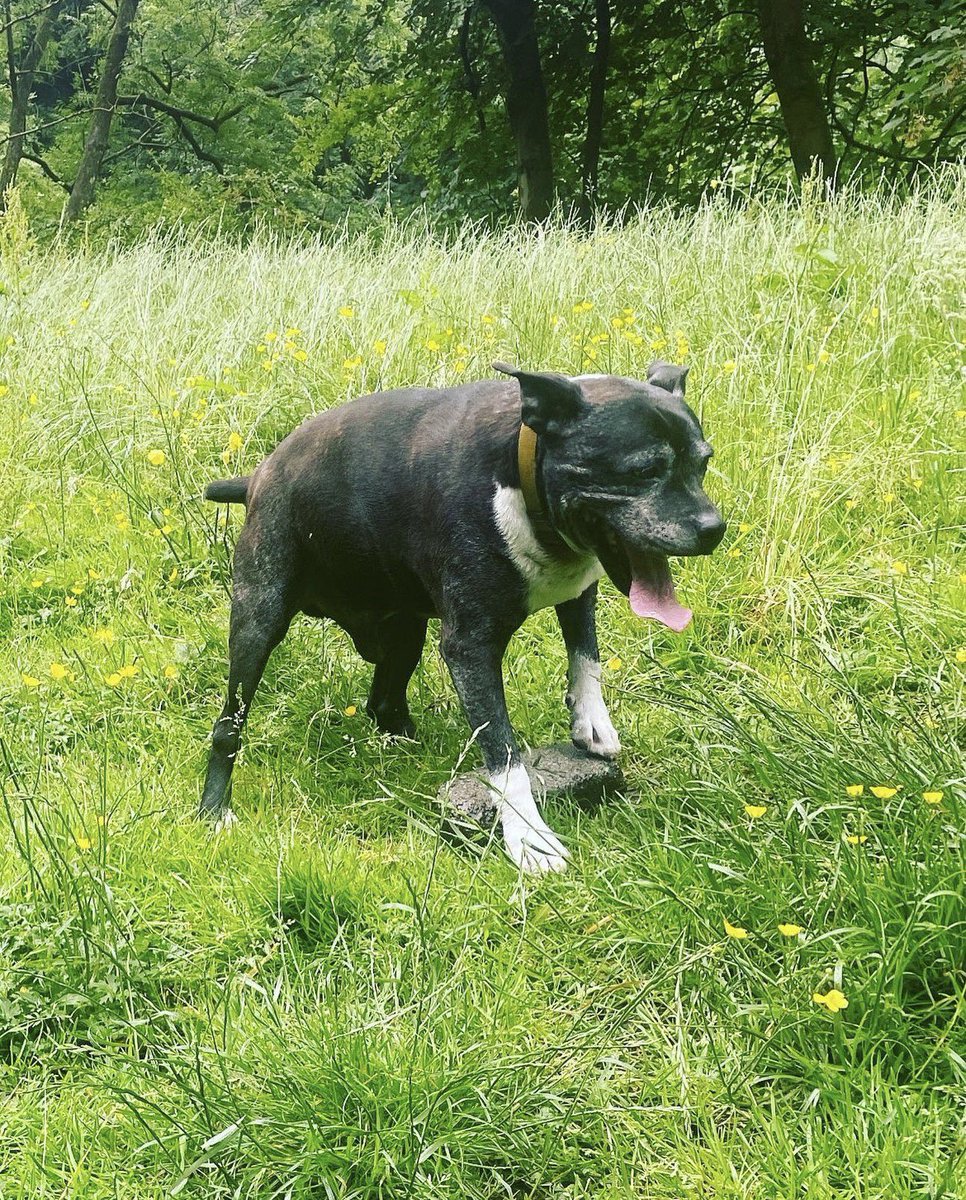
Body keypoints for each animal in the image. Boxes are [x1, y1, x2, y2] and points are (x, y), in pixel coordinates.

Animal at [198, 355, 724, 873]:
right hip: (258, 618)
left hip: (404, 632)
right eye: (642, 471)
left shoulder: (579, 591)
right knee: (228, 726)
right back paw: (214, 808)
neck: (521, 471)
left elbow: (586, 657)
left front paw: (591, 722)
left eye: (704, 462)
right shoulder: (471, 649)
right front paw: (530, 839)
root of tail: (260, 474)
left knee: (382, 701)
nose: (714, 529)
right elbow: (505, 754)